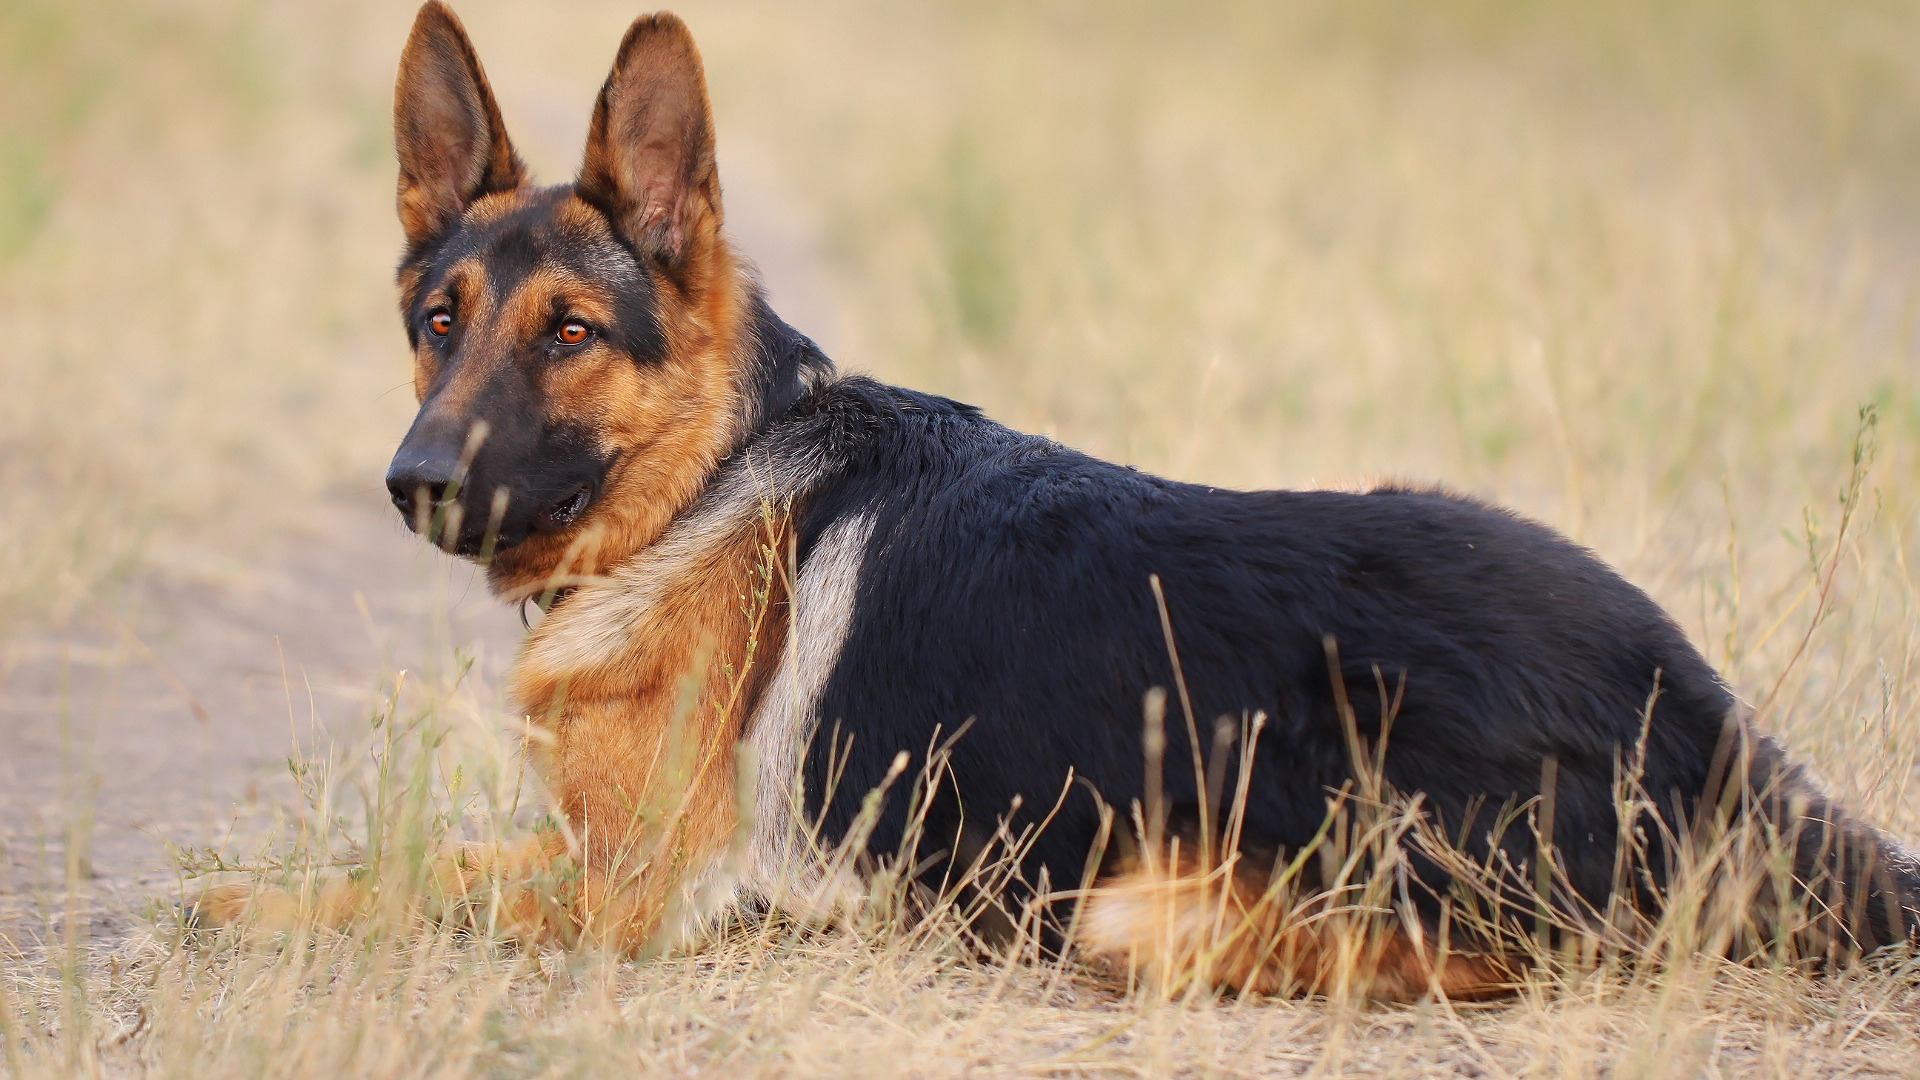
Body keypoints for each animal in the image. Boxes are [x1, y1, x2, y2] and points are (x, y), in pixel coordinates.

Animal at [198, 2, 1920, 991]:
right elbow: (428, 859)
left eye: (566, 333)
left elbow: (414, 883)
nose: (415, 482)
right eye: (438, 322)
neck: (708, 475)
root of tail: (1710, 723)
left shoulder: (634, 894)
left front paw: (241, 909)